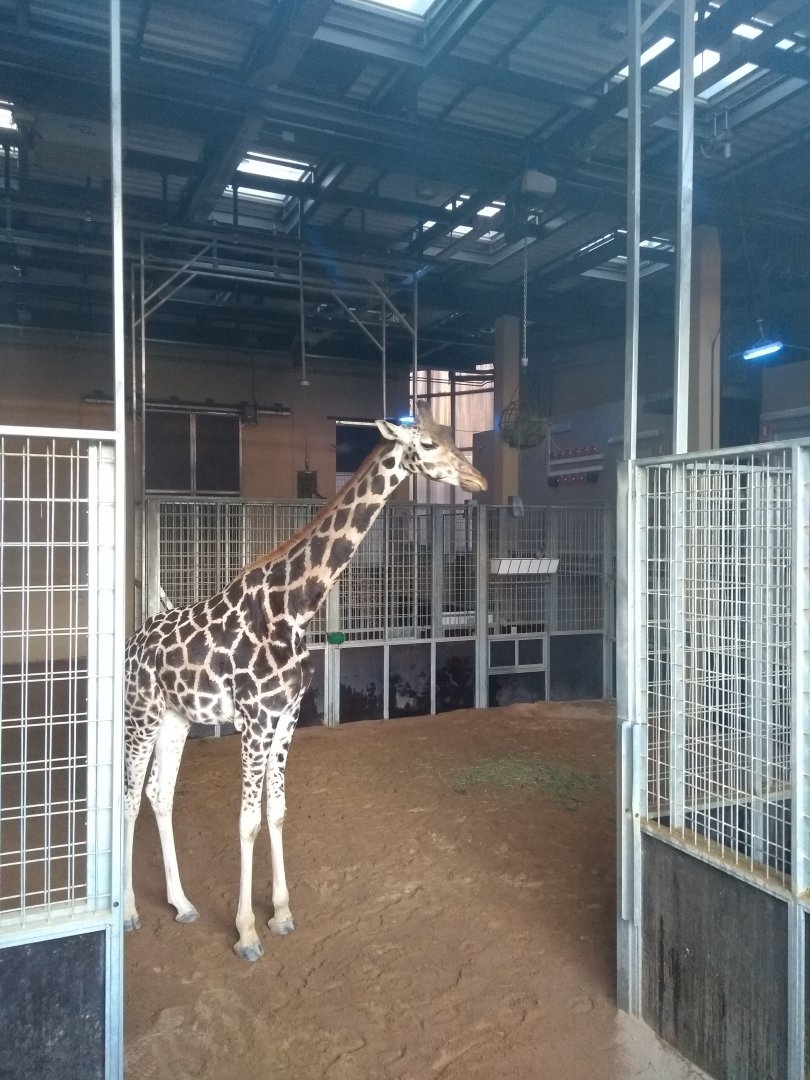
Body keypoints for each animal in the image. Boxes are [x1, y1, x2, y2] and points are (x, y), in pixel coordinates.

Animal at [123, 401, 487, 961]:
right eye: (426, 444)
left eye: (452, 437)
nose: (478, 479)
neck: (294, 608)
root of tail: (131, 644)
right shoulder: (253, 719)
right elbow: (247, 819)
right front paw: (247, 933)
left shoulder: (287, 716)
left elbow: (276, 811)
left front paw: (281, 913)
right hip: (139, 712)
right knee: (125, 798)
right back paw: (127, 913)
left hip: (176, 718)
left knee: (158, 795)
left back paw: (181, 904)